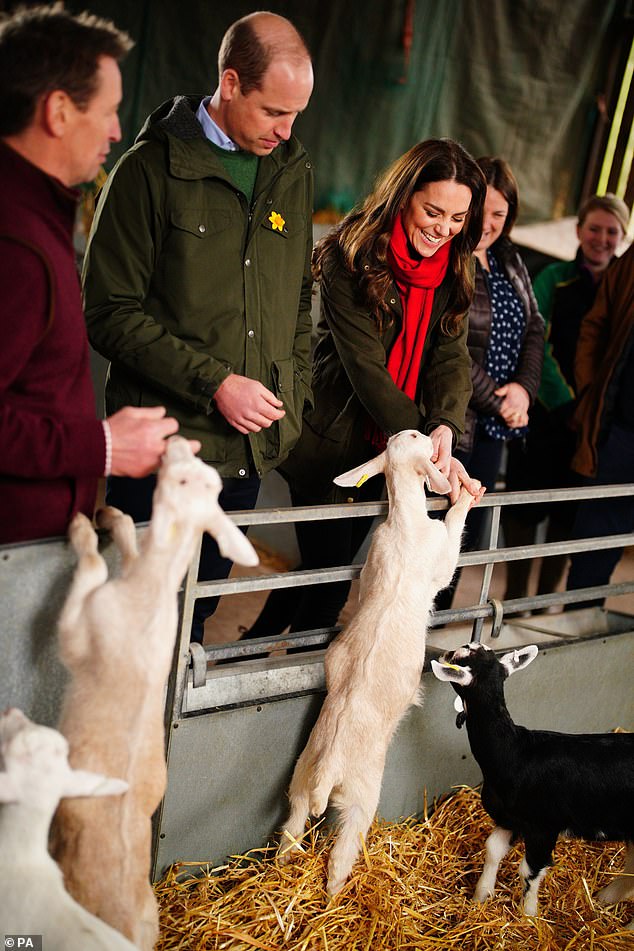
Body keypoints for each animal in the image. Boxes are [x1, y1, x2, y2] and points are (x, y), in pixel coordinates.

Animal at [49, 438, 256, 951]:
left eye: (184, 477)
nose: (178, 441)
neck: (153, 590)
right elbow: (128, 543)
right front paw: (111, 517)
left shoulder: (78, 632)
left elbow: (92, 566)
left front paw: (81, 528)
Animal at [276, 428, 474, 896]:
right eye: (419, 437)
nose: (429, 434)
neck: (403, 522)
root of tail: (327, 768)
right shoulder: (441, 557)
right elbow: (453, 537)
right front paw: (465, 495)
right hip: (361, 795)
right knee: (340, 857)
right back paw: (335, 895)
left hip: (300, 777)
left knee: (291, 831)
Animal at [430, 640, 632, 928]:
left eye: (461, 654)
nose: (444, 652)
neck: (515, 753)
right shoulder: (510, 819)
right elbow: (492, 850)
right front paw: (481, 896)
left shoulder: (543, 827)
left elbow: (530, 870)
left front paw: (528, 915)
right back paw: (605, 900)